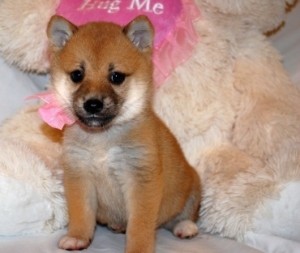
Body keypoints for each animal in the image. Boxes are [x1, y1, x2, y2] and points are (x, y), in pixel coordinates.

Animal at [47, 14, 202, 252]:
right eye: (77, 75)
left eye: (116, 77)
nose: (93, 104)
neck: (102, 139)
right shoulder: (79, 176)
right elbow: (81, 214)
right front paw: (78, 237)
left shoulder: (140, 182)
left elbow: (140, 225)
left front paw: (138, 248)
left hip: (192, 187)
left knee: (182, 216)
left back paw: (185, 226)